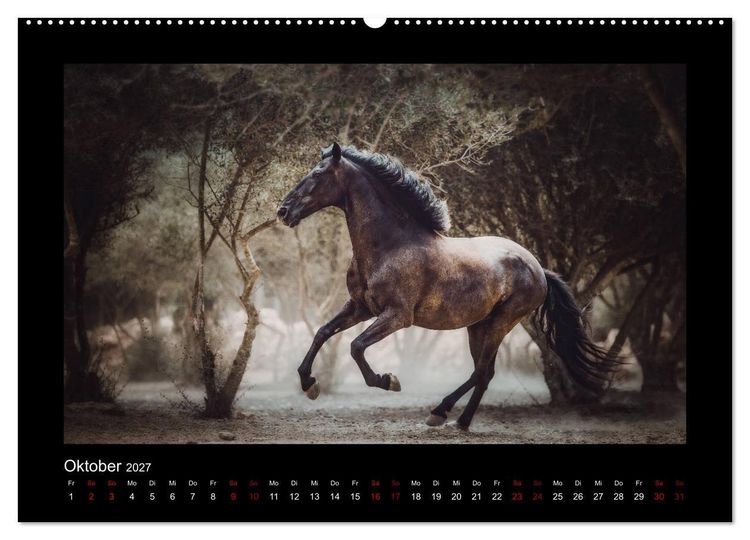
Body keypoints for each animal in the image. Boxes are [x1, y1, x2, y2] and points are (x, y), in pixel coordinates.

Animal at [277, 142, 617, 431]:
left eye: (318, 174)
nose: (283, 211)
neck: (390, 245)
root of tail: (538, 269)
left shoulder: (397, 316)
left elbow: (356, 346)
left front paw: (388, 380)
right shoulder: (359, 307)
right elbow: (322, 332)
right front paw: (309, 384)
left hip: (502, 323)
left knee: (481, 372)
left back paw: (441, 412)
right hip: (478, 326)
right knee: (485, 373)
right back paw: (458, 420)